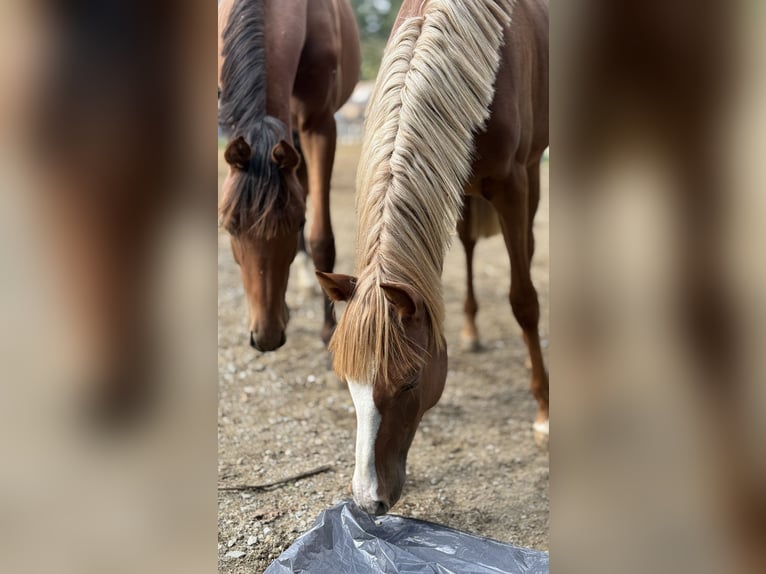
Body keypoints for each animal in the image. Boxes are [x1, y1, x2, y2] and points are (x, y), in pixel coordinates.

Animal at [217, 0, 360, 352]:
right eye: (229, 226)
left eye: (296, 223)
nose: (266, 338)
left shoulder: (319, 125)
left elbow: (321, 237)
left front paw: (329, 330)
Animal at [316, 0, 549, 515]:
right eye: (348, 382)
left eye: (408, 381)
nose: (367, 501)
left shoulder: (514, 182)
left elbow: (524, 299)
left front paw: (544, 412)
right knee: (467, 245)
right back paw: (470, 328)